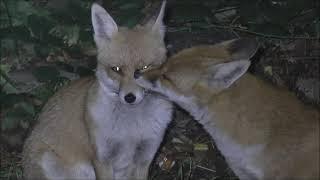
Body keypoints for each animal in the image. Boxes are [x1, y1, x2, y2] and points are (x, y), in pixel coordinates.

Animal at [22, 1, 174, 180]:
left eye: (144, 68)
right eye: (116, 69)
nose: (129, 97)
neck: (130, 133)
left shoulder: (145, 157)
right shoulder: (102, 159)